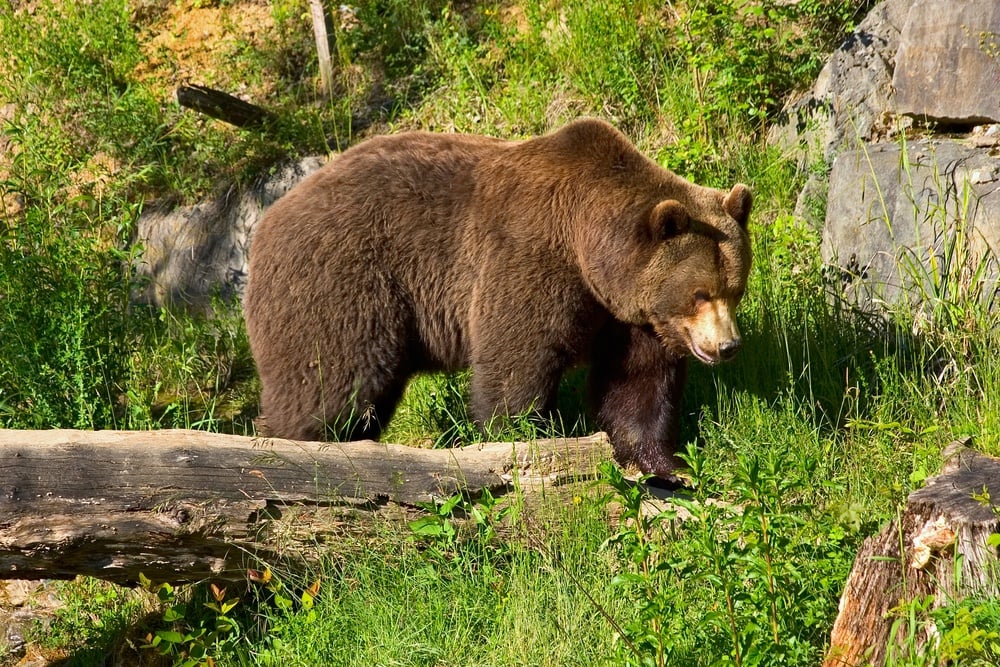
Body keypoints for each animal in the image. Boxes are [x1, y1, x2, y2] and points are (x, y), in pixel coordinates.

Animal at [246, 117, 752, 478]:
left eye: (735, 289)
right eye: (699, 293)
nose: (727, 346)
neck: (589, 251)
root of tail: (265, 225)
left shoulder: (627, 315)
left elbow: (637, 385)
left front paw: (665, 467)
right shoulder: (531, 259)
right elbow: (516, 363)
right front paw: (522, 438)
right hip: (341, 285)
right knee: (329, 384)